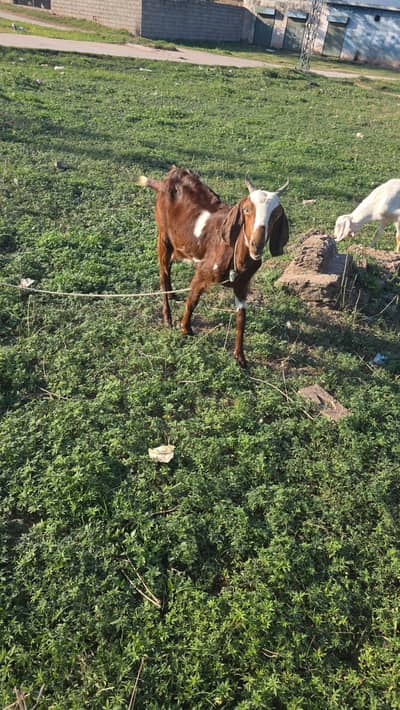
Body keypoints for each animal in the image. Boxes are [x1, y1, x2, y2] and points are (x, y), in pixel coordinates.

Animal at [137, 166, 289, 367]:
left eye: (276, 215)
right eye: (246, 209)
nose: (257, 245)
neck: (234, 251)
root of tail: (168, 178)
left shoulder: (242, 285)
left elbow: (242, 318)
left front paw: (240, 357)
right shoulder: (203, 272)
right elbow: (192, 300)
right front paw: (185, 329)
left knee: (168, 269)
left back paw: (173, 294)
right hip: (163, 236)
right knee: (163, 273)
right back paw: (167, 317)